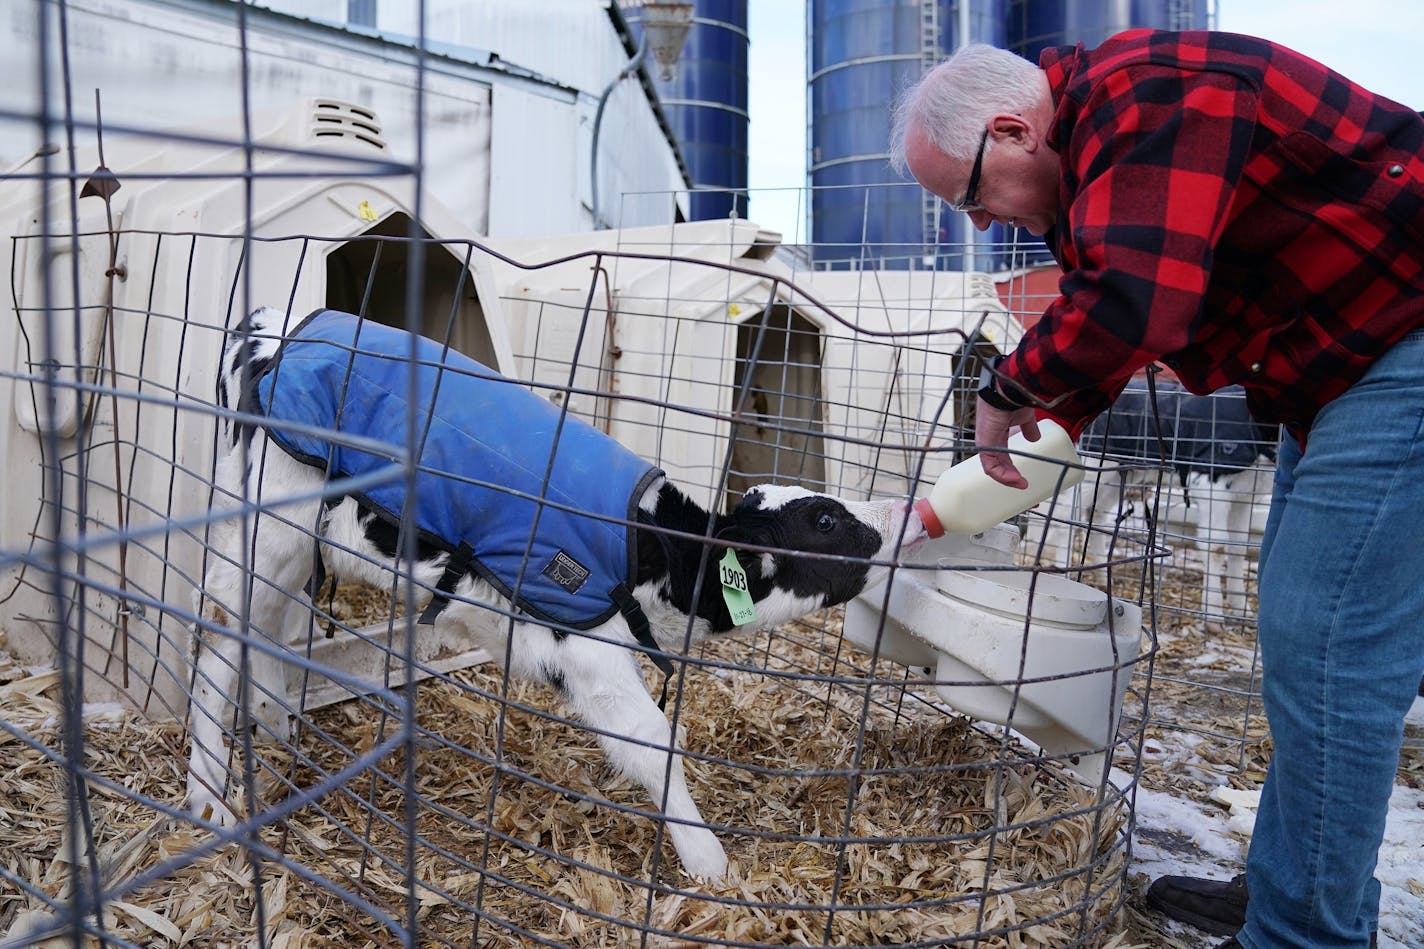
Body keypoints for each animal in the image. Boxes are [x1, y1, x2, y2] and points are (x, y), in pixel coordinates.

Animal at [189, 306, 922, 877]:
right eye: (824, 521)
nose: (907, 509)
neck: (656, 554)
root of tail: (272, 330)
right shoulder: (588, 652)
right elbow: (652, 741)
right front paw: (709, 862)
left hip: (294, 544)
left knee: (265, 625)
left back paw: (277, 727)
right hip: (266, 520)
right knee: (219, 631)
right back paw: (208, 796)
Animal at [1059, 376, 1281, 626]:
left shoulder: (1245, 493)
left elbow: (1238, 547)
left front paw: (1241, 609)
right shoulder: (1210, 481)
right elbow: (1216, 546)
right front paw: (1213, 614)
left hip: (1121, 472)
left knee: (1095, 514)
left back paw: (1099, 573)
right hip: (1094, 463)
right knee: (1066, 514)